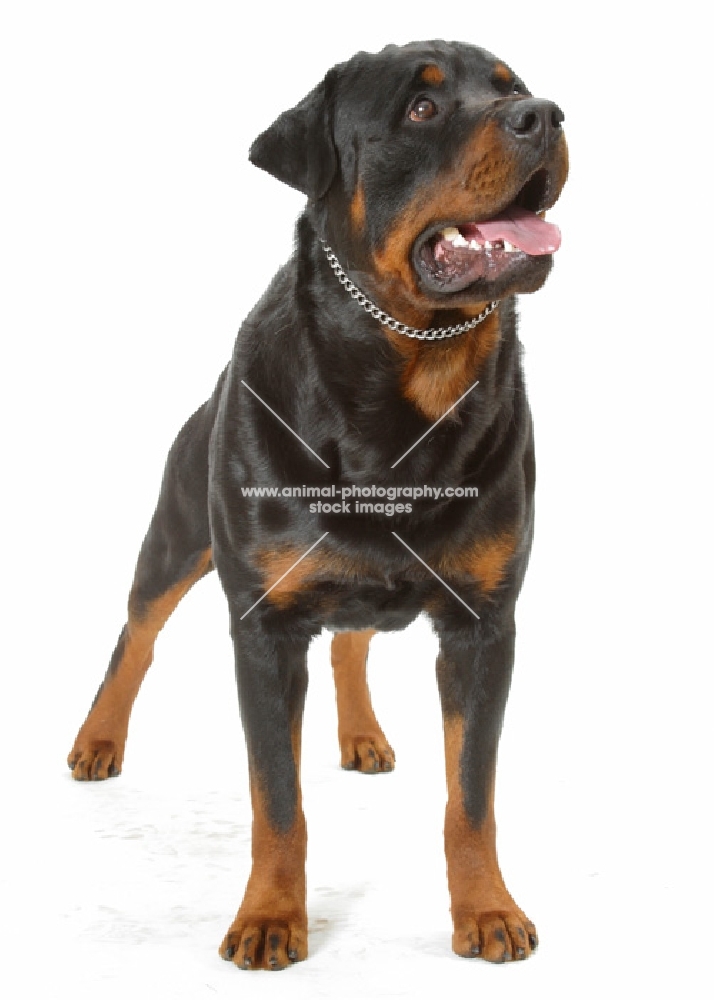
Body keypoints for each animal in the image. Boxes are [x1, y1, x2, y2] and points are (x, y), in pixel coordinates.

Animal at [68, 41, 568, 968]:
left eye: (512, 88)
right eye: (420, 109)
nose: (544, 115)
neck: (408, 380)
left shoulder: (484, 625)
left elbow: (471, 796)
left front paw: (486, 910)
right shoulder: (263, 628)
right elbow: (277, 801)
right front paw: (269, 918)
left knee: (351, 640)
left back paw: (361, 733)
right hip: (178, 533)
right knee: (137, 635)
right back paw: (97, 741)